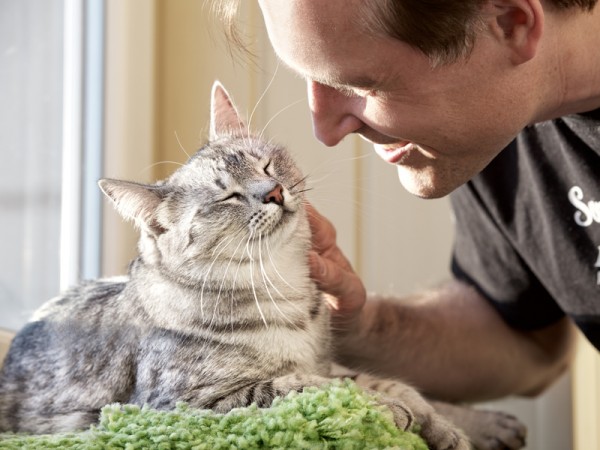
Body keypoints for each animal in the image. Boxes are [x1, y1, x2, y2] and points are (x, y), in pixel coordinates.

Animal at [0, 81, 524, 450]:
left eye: (267, 165)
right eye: (227, 195)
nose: (272, 192)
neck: (286, 293)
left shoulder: (326, 358)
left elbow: (382, 382)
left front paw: (442, 425)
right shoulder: (187, 403)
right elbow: (306, 386)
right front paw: (387, 411)